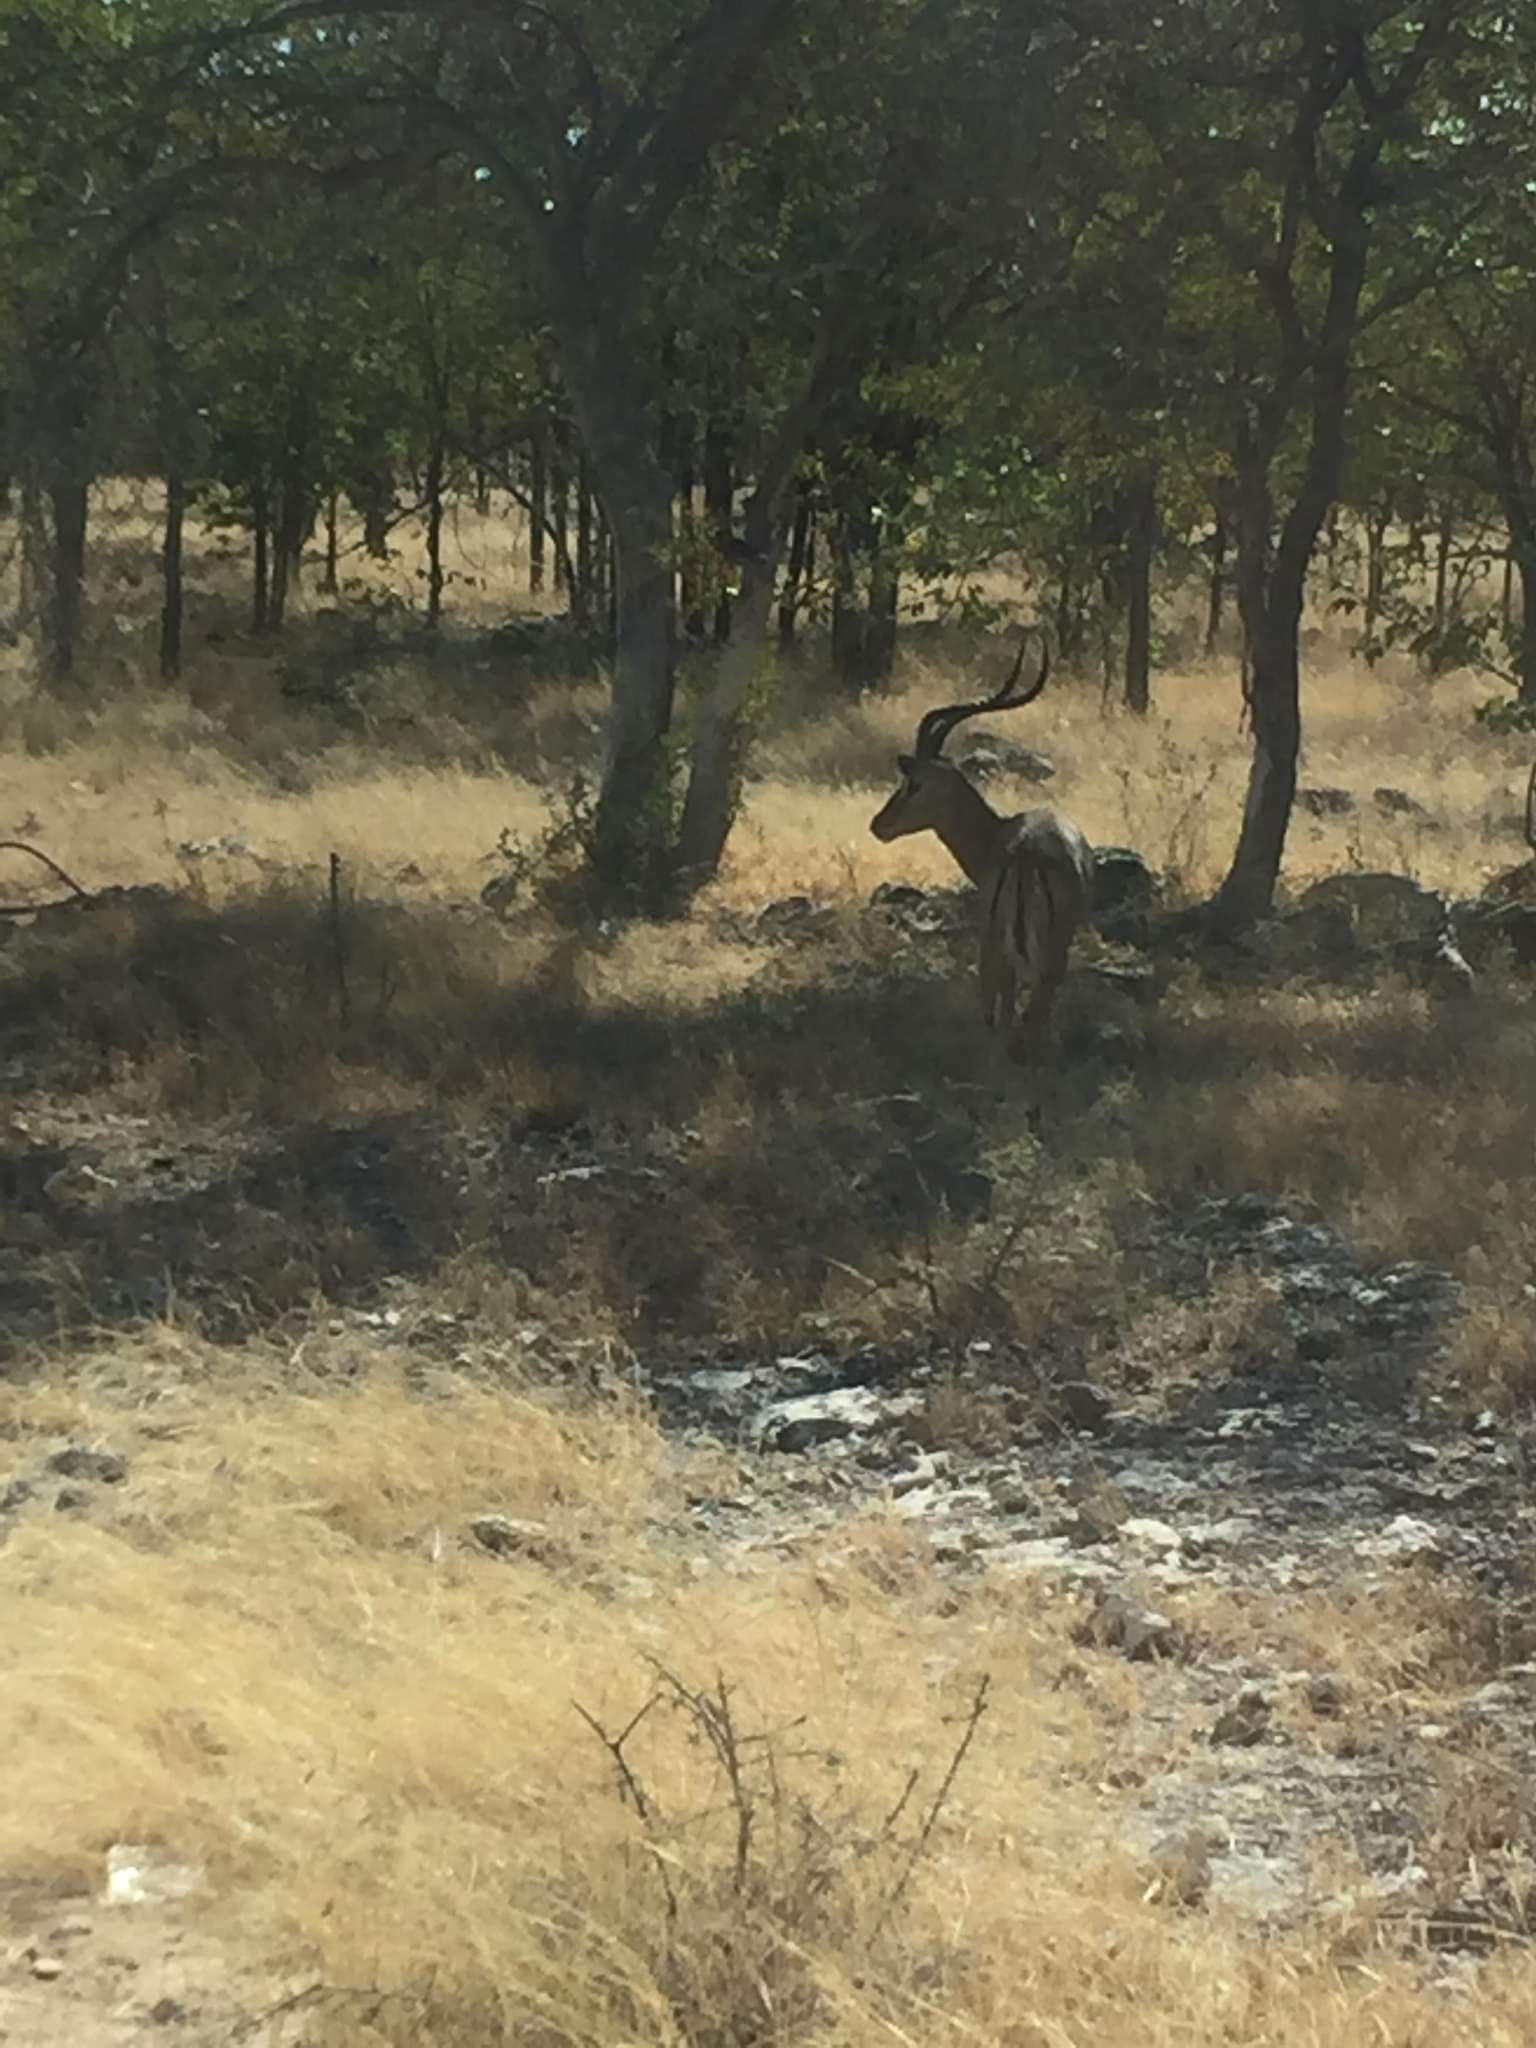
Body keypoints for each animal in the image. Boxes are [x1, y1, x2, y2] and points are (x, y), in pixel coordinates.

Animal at [870, 637, 1094, 1061]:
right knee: (1018, 1022)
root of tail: (1025, 855)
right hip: (1026, 956)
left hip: (1008, 953)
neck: (996, 834)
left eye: (914, 784)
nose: (878, 824)